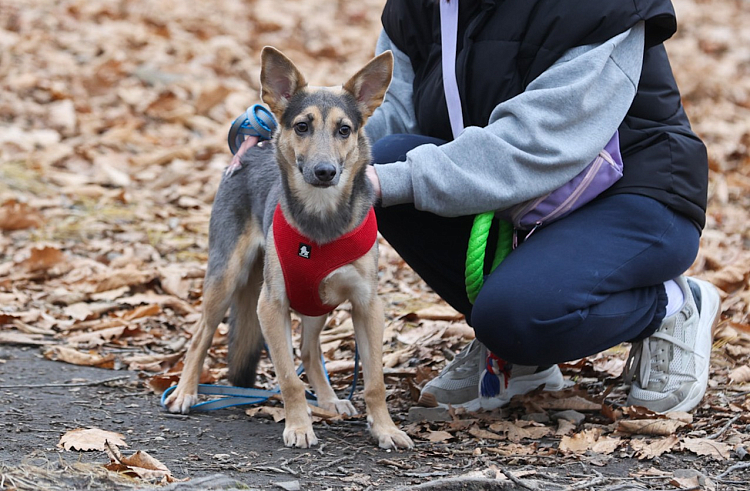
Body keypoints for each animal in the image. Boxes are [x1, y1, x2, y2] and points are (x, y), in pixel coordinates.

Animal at [163, 48, 418, 452]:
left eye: (344, 130)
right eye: (301, 127)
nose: (325, 171)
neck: (321, 217)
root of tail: (255, 147)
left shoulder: (367, 307)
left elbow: (375, 382)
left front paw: (385, 428)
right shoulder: (270, 306)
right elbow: (288, 378)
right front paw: (299, 425)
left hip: (318, 302)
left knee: (311, 351)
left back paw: (328, 399)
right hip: (225, 278)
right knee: (201, 335)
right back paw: (186, 392)